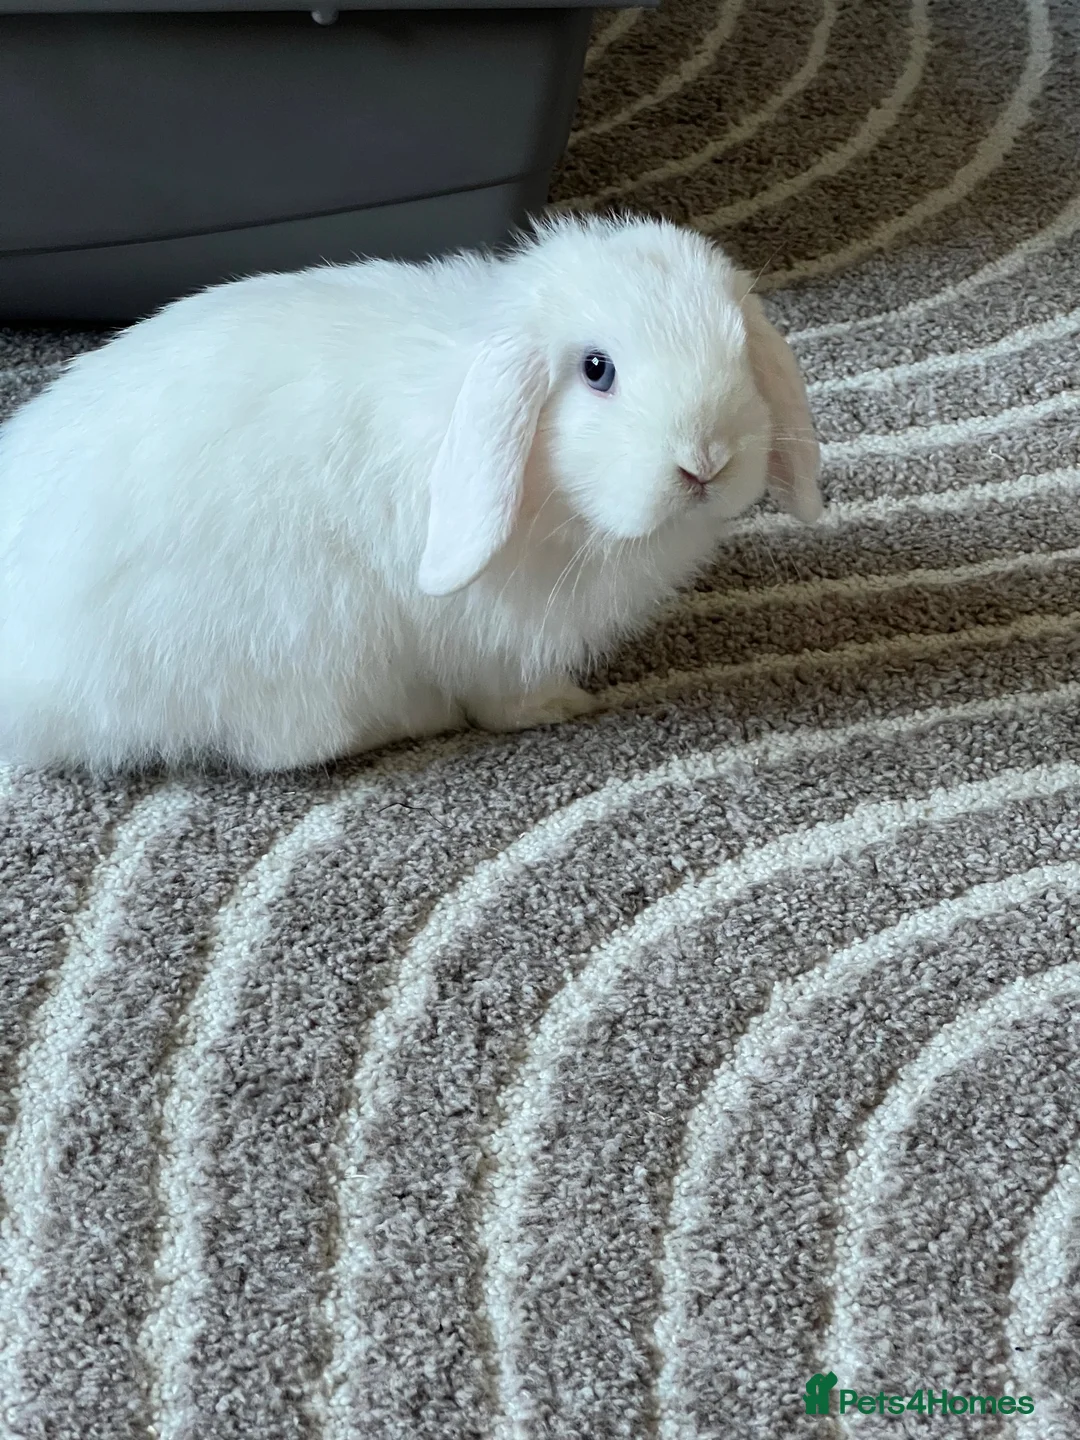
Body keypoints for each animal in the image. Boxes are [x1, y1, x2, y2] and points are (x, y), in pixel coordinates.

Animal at [0, 213, 822, 774]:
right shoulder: (494, 636)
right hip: (295, 640)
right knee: (288, 746)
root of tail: (32, 692)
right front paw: (563, 706)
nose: (705, 461)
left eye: (740, 351)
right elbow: (506, 694)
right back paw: (413, 717)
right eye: (597, 369)